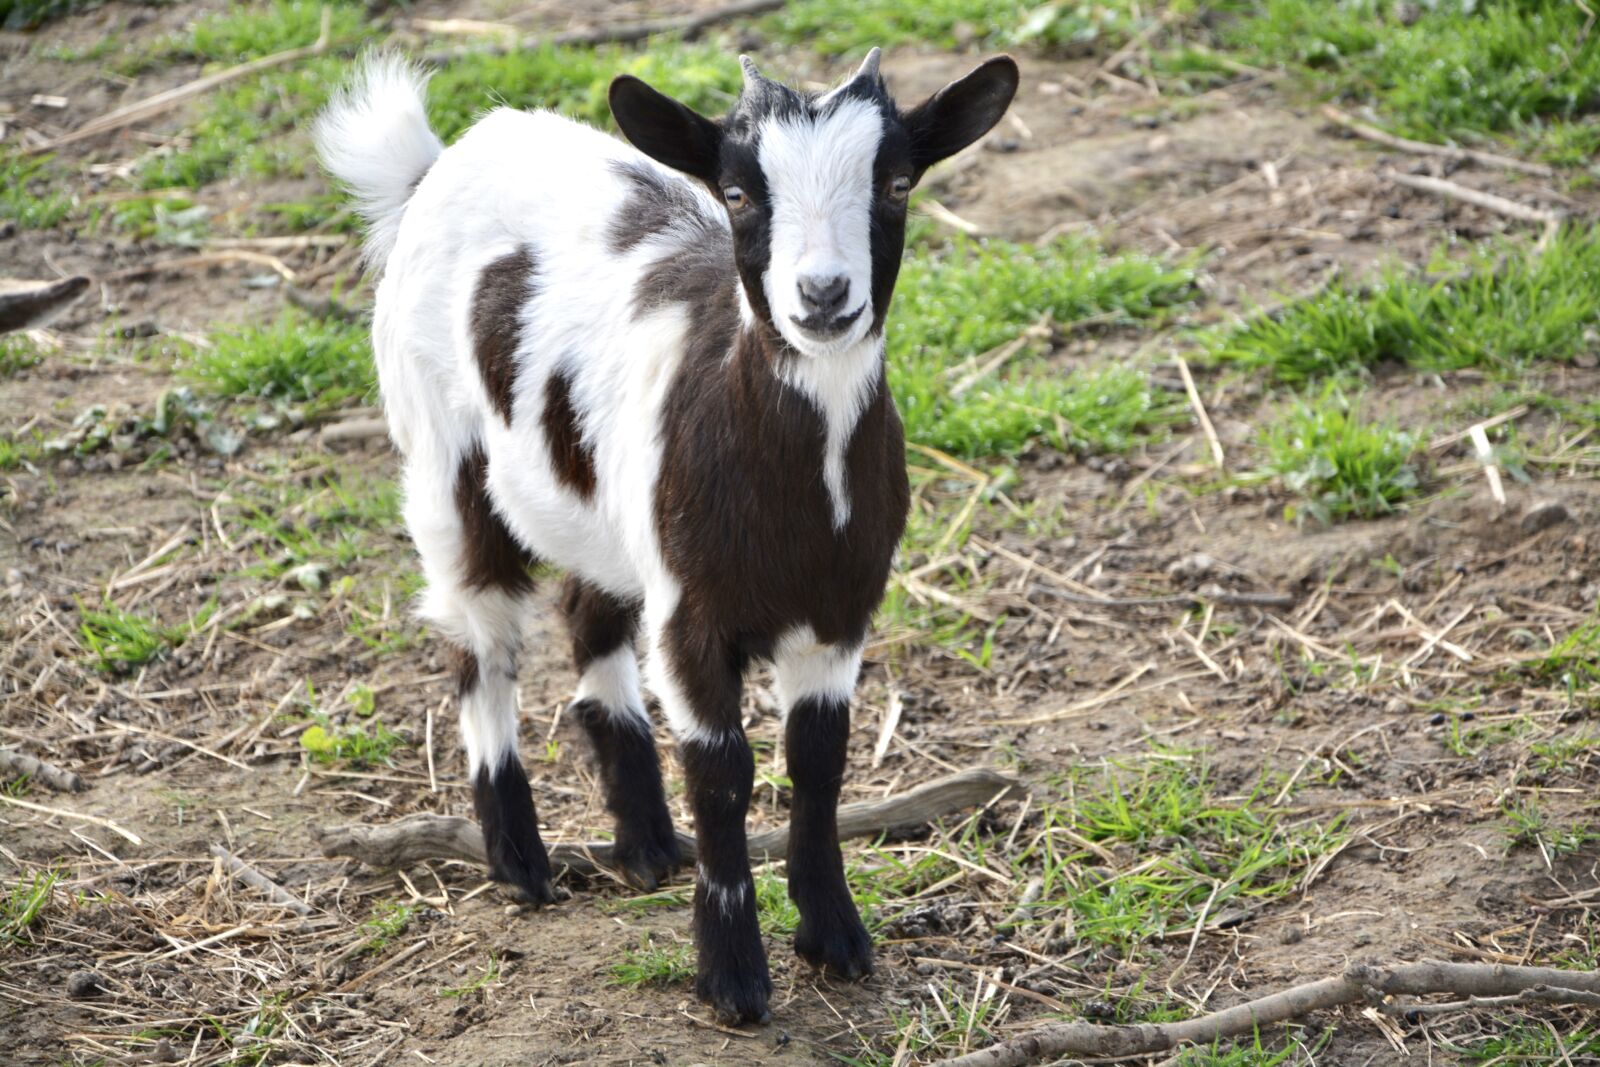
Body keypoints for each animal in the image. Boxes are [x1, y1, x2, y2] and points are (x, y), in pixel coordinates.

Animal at [316, 48, 1018, 1023]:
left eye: (899, 183)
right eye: (738, 193)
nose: (823, 296)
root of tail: (439, 161)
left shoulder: (840, 609)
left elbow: (819, 760)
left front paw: (834, 938)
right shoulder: (692, 614)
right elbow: (722, 772)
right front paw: (734, 978)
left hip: (606, 509)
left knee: (587, 612)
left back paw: (645, 840)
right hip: (439, 455)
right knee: (477, 638)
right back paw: (520, 861)